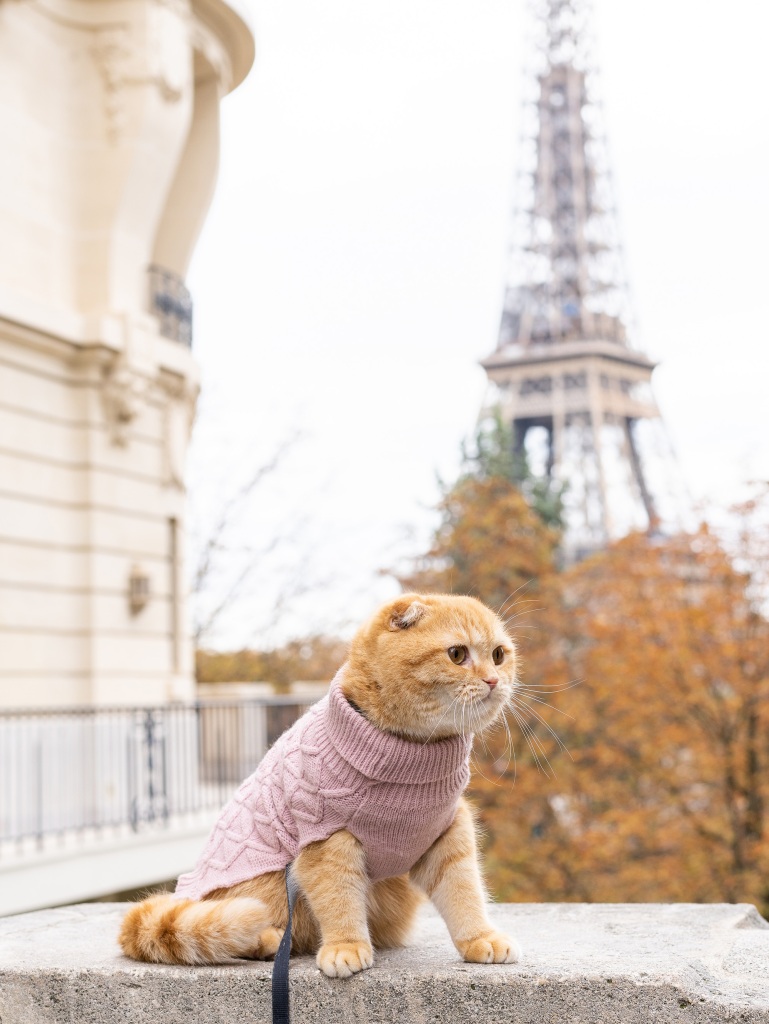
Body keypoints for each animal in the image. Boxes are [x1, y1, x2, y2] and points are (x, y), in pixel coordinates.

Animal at [120, 593, 524, 974]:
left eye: (499, 655)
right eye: (457, 654)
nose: (493, 680)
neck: (410, 753)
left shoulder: (449, 834)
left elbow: (464, 892)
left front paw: (480, 938)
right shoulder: (326, 844)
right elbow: (338, 900)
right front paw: (346, 946)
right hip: (265, 892)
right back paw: (264, 941)